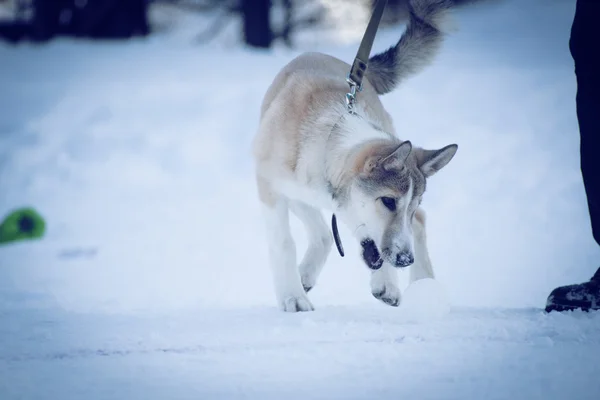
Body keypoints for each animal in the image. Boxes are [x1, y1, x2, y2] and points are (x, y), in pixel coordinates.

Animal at [253, 0, 460, 312]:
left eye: (410, 205)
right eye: (388, 201)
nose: (405, 260)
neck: (326, 147)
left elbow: (407, 226)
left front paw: (388, 282)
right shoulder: (270, 187)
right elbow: (284, 243)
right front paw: (293, 297)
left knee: (416, 222)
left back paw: (422, 285)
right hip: (296, 194)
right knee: (323, 234)